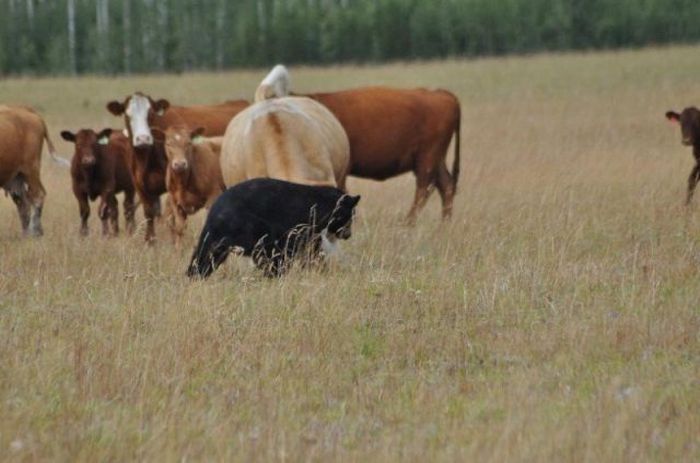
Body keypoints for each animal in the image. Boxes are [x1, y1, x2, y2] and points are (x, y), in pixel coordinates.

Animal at [1, 104, 68, 236]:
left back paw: (34, 232)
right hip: (17, 177)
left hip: (31, 170)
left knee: (38, 196)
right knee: (23, 203)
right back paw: (27, 233)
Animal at [106, 91, 249, 243]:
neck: (147, 159)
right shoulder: (141, 187)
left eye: (150, 114)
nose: (143, 139)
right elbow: (150, 215)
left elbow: (169, 219)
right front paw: (151, 242)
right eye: (127, 115)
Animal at [186, 178, 360, 280]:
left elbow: (312, 251)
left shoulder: (311, 232)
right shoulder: (299, 226)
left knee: (206, 254)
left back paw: (195, 274)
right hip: (251, 227)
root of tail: (215, 211)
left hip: (217, 237)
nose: (348, 234)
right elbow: (292, 249)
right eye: (349, 216)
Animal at [304, 88, 460, 225]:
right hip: (436, 160)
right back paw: (444, 224)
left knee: (424, 188)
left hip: (427, 159)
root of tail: (440, 93)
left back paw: (408, 223)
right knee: (445, 185)